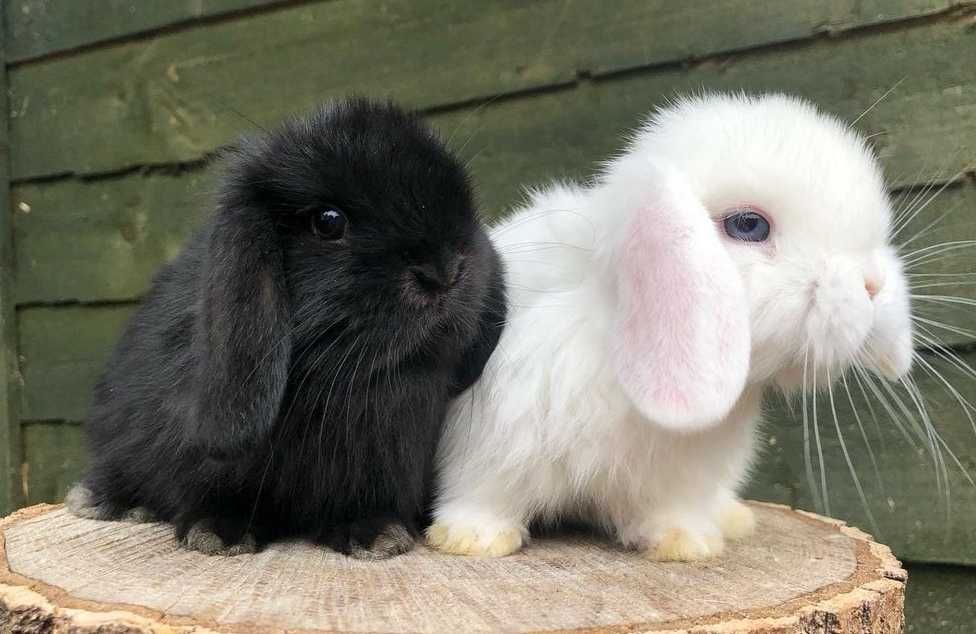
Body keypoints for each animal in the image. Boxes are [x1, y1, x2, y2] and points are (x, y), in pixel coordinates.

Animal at [428, 92, 916, 556]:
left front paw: (685, 543)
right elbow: (483, 493)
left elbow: (669, 511)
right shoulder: (493, 438)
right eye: (749, 225)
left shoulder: (677, 478)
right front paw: (472, 539)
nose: (873, 285)